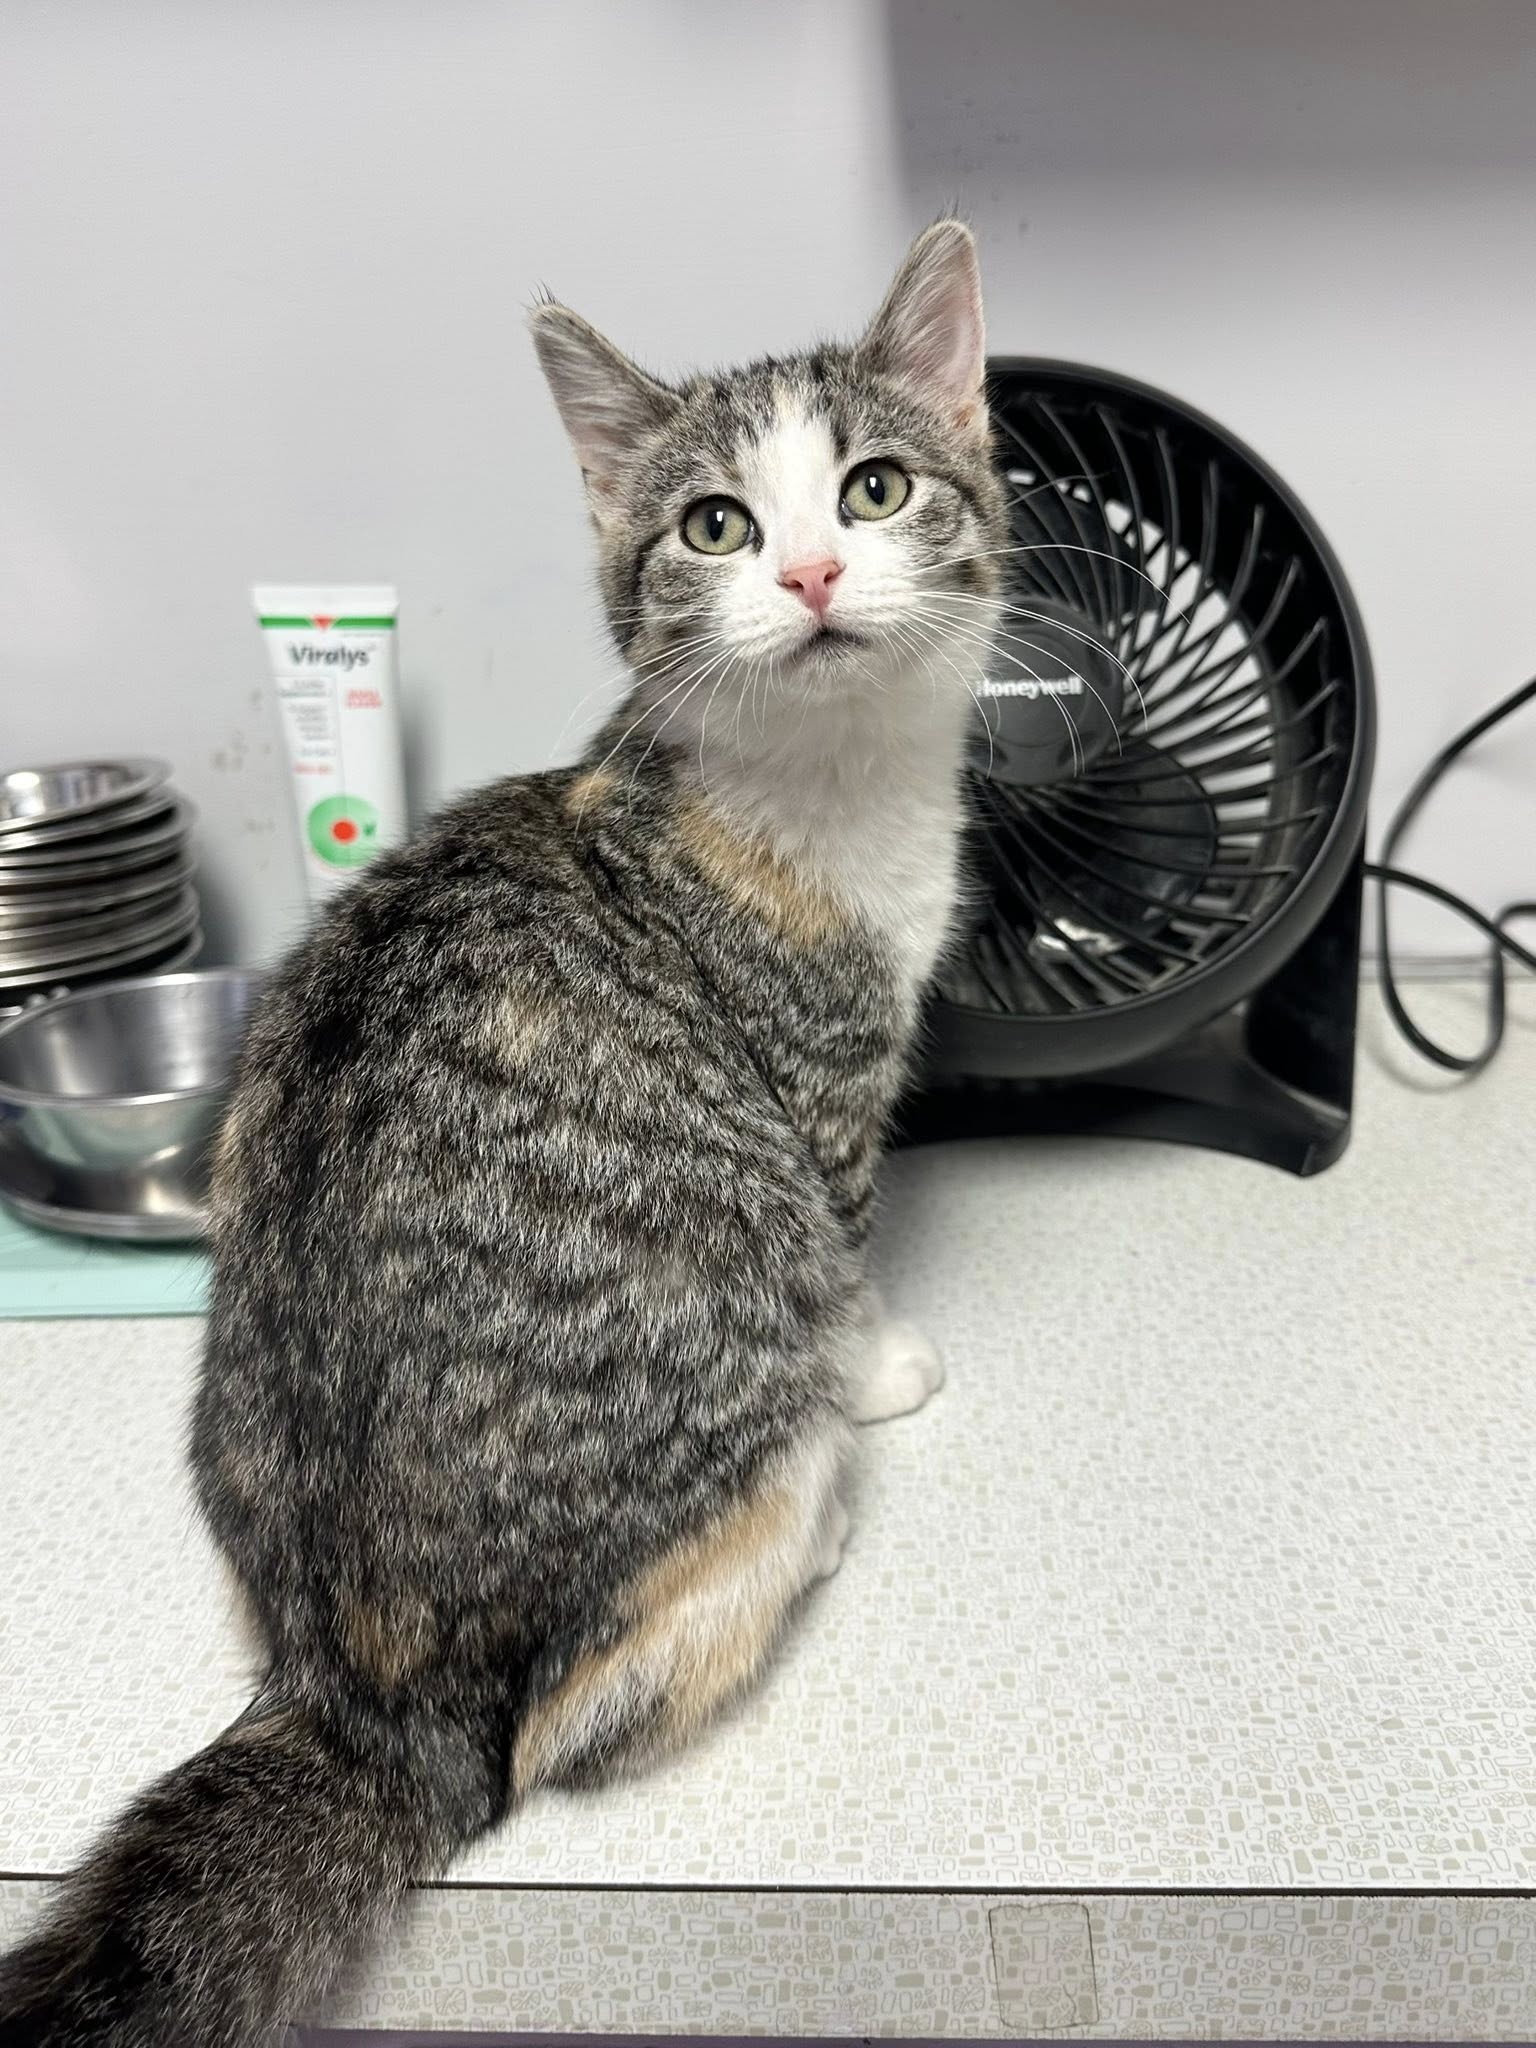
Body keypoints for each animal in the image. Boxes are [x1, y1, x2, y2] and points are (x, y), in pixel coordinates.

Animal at [0, 220, 1005, 2047]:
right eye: (716, 525)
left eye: (878, 487)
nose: (815, 576)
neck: (823, 788)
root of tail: (359, 1687)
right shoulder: (810, 1092)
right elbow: (840, 1254)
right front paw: (886, 1358)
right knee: (566, 1727)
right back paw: (816, 1511)